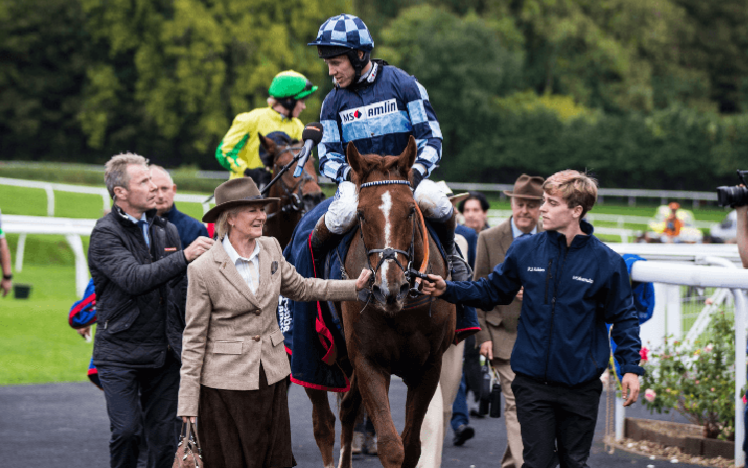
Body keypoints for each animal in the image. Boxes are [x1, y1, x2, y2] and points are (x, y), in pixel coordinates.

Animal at [310, 137, 456, 466]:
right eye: (362, 214)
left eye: (411, 211)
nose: (390, 288)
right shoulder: (369, 360)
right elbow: (391, 446)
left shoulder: (429, 365)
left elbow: (411, 446)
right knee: (324, 422)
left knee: (347, 409)